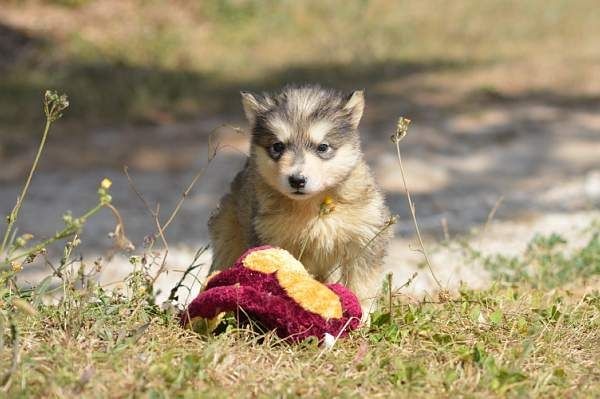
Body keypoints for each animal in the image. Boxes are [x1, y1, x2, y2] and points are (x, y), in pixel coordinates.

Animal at [209, 85, 392, 316]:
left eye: (323, 147)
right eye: (278, 146)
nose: (297, 180)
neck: (313, 206)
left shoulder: (365, 237)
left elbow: (362, 284)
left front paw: (362, 316)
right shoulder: (269, 237)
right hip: (227, 233)